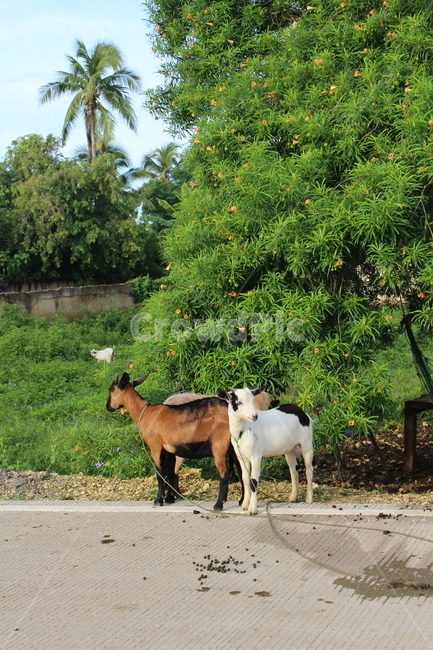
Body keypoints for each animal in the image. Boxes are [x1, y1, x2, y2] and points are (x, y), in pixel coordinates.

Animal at [106, 373, 236, 510]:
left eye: (111, 389)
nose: (108, 407)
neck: (145, 412)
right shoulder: (169, 449)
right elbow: (169, 472)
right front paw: (170, 498)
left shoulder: (156, 447)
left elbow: (160, 473)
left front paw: (158, 500)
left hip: (219, 445)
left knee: (224, 473)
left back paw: (219, 504)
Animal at [218, 387, 314, 515]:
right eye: (238, 402)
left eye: (253, 400)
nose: (254, 416)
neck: (244, 429)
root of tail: (303, 414)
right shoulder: (242, 457)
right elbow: (245, 479)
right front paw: (245, 505)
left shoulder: (256, 456)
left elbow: (254, 481)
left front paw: (253, 509)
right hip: (289, 449)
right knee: (293, 470)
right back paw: (293, 497)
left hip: (306, 443)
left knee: (309, 470)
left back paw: (309, 498)